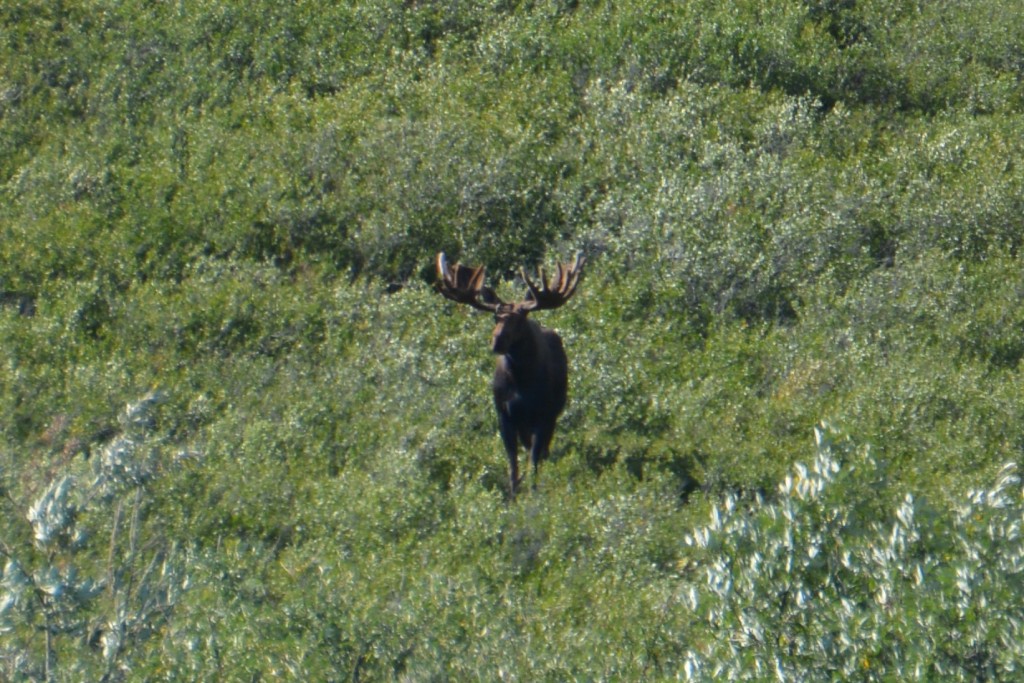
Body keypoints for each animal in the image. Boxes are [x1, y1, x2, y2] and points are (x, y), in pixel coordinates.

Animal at [436, 250, 589, 497]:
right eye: (495, 317)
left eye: (519, 319)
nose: (497, 341)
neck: (521, 381)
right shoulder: (504, 414)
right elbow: (512, 463)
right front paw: (512, 495)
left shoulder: (543, 415)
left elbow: (533, 460)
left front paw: (533, 493)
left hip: (553, 413)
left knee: (542, 451)